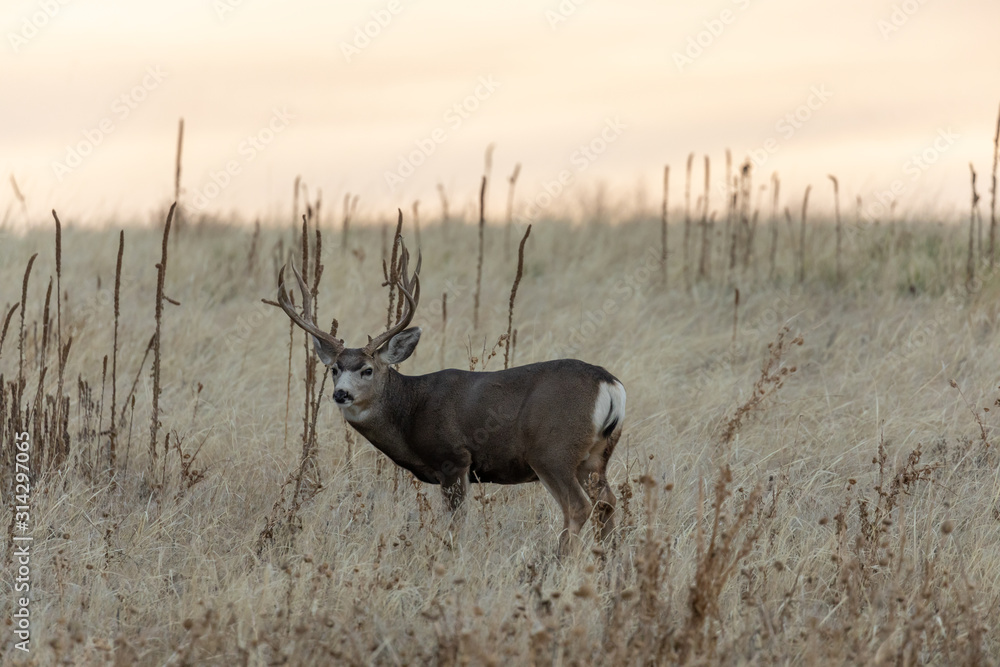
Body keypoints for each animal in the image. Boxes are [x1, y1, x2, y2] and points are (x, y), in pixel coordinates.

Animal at [272, 236, 625, 555]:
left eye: (367, 370)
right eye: (334, 368)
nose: (341, 394)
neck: (410, 410)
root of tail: (609, 384)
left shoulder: (454, 459)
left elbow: (456, 527)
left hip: (553, 451)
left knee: (578, 507)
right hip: (596, 456)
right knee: (607, 503)